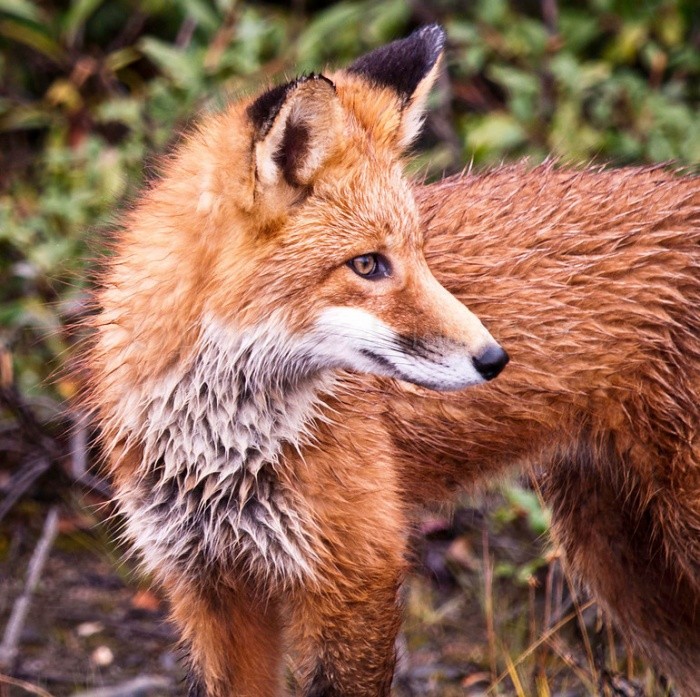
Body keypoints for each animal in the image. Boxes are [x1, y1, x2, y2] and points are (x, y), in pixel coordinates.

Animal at [83, 24, 700, 696]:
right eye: (368, 264)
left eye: (420, 255)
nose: (495, 358)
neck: (221, 450)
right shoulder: (208, 585)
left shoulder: (357, 571)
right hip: (623, 564)